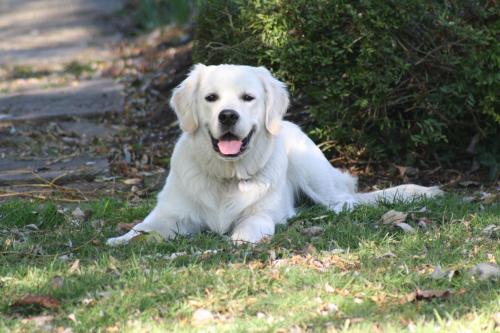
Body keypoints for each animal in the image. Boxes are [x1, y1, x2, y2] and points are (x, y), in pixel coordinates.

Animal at [106, 64, 442, 244]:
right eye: (211, 98)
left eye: (248, 98)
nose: (228, 116)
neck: (228, 177)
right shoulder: (170, 214)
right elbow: (142, 228)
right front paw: (120, 240)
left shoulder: (264, 213)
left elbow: (251, 223)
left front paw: (239, 239)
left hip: (312, 169)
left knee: (348, 200)